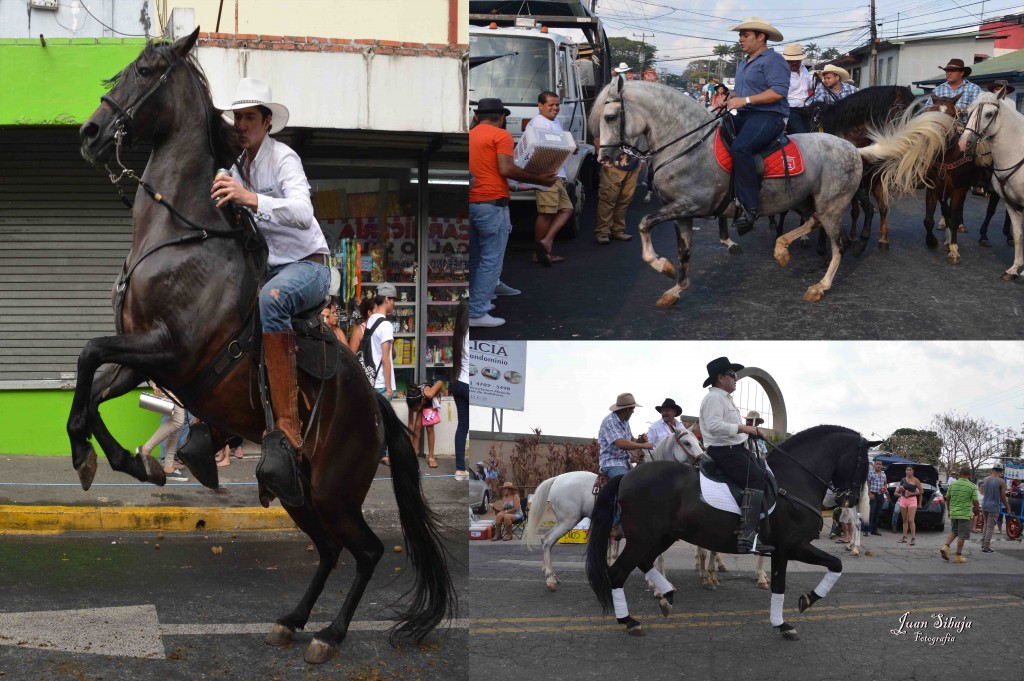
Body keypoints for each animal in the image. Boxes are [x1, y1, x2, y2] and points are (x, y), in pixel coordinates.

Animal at [73, 29, 456, 659]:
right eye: (121, 71)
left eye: (146, 71)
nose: (91, 133)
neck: (181, 237)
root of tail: (378, 405)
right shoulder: (141, 355)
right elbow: (91, 382)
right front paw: (124, 460)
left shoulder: (172, 352)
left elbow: (87, 356)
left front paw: (108, 458)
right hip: (302, 494)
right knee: (331, 550)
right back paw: (294, 619)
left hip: (333, 491)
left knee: (367, 550)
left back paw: (330, 633)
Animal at [585, 421, 872, 639]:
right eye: (863, 465)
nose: (849, 500)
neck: (793, 481)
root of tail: (626, 476)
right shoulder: (790, 547)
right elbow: (791, 581)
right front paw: (786, 621)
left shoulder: (786, 549)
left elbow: (833, 566)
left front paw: (803, 603)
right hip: (643, 538)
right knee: (618, 571)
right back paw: (630, 620)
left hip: (661, 536)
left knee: (643, 562)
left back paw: (666, 596)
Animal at [593, 78, 950, 303]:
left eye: (610, 116)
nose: (605, 158)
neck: (689, 143)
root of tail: (853, 148)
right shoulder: (680, 212)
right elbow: (683, 251)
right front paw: (675, 287)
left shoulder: (690, 205)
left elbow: (644, 224)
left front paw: (660, 265)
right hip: (811, 200)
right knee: (815, 222)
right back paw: (783, 248)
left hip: (832, 205)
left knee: (839, 243)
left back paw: (820, 284)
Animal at [958, 91, 1024, 280]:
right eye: (969, 111)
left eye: (989, 114)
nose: (963, 143)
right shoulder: (1009, 202)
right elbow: (1018, 234)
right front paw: (1014, 269)